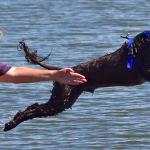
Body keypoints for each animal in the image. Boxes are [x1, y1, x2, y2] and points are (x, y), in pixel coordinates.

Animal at [3, 30, 150, 131]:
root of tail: (62, 70)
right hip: (61, 99)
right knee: (34, 108)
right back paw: (10, 124)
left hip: (66, 99)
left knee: (35, 107)